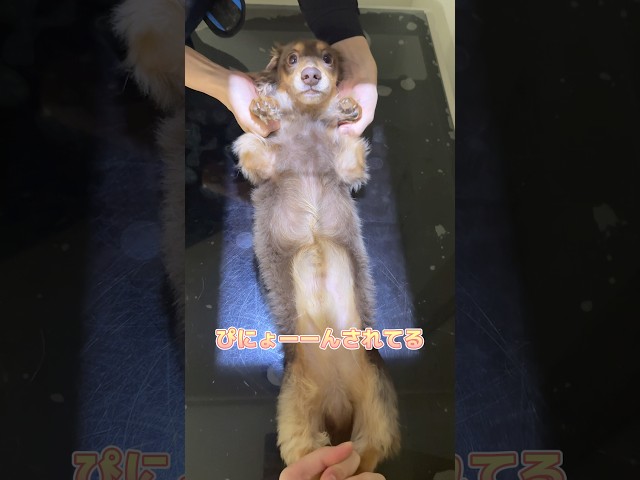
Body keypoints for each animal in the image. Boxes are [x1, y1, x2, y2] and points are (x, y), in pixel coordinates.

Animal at [233, 39, 400, 472]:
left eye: (327, 57)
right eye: (292, 59)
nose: (311, 74)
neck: (306, 126)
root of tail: (337, 398)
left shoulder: (349, 167)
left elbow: (351, 146)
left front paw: (346, 109)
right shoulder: (262, 162)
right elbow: (252, 143)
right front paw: (265, 107)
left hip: (377, 403)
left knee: (368, 450)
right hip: (297, 412)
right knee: (309, 448)